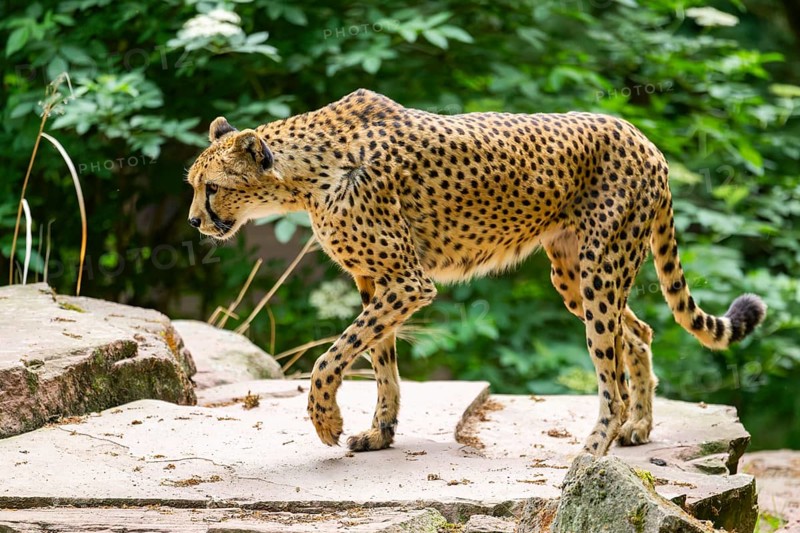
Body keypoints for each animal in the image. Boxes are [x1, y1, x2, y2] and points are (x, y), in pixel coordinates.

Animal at [186, 89, 766, 456]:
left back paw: (593, 451)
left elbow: (332, 357)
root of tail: (640, 136)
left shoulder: (408, 282)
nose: (194, 220)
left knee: (611, 375)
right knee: (639, 332)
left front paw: (326, 419)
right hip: (573, 276)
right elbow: (379, 360)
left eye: (211, 187)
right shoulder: (377, 282)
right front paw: (380, 434)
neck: (303, 174)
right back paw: (640, 426)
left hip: (600, 271)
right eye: (193, 183)